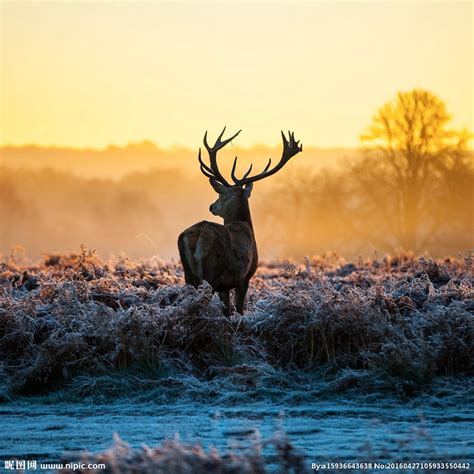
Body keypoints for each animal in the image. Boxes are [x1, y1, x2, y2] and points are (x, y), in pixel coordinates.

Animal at [178, 128, 304, 316]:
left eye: (220, 195)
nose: (212, 206)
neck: (245, 225)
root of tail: (195, 235)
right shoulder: (245, 276)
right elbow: (239, 309)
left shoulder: (225, 285)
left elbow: (227, 310)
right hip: (211, 272)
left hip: (189, 275)